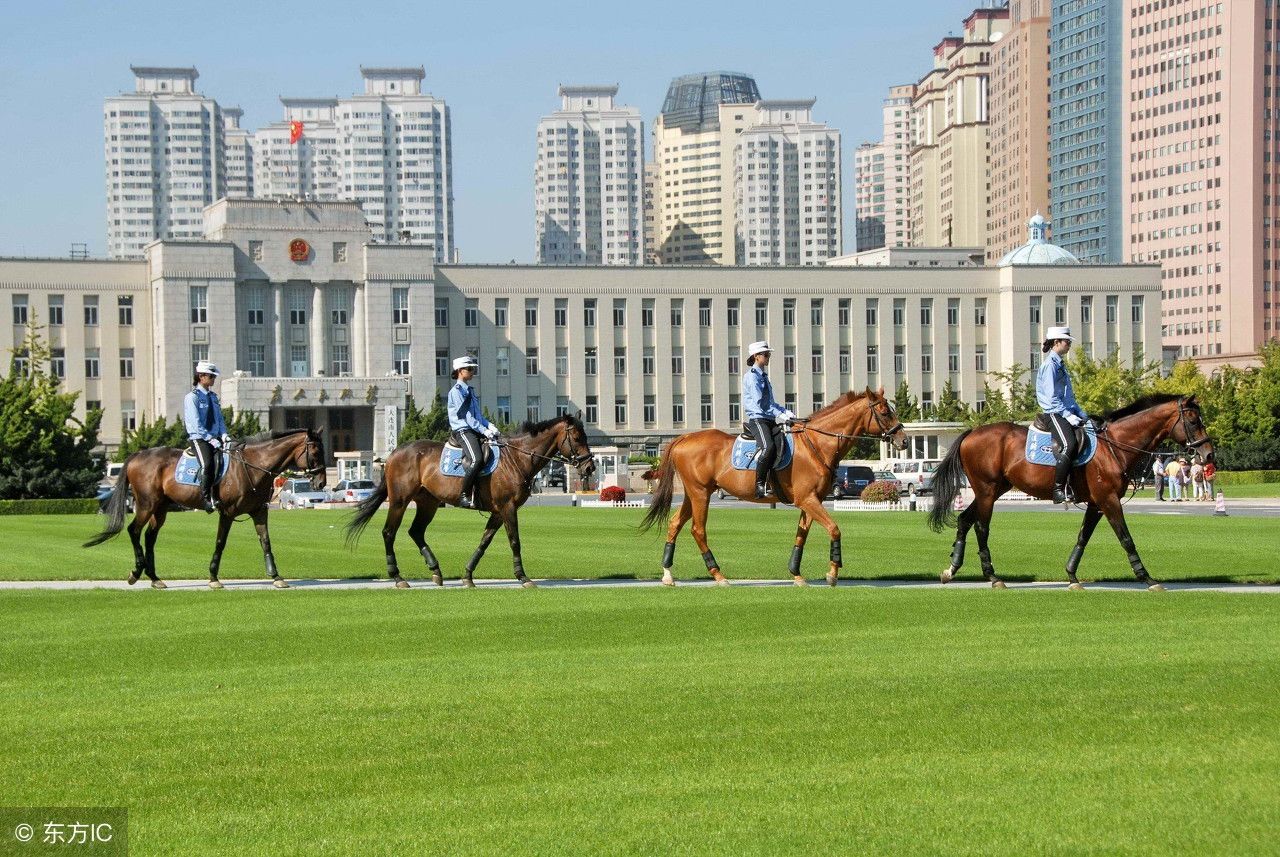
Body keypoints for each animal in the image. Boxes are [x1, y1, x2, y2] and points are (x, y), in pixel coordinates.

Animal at [83, 429, 325, 590]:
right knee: (134, 531)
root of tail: (137, 455)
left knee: (150, 536)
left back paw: (154, 578)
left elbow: (265, 541)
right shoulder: (227, 512)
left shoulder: (259, 511)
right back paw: (136, 572)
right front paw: (213, 577)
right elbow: (220, 542)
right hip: (146, 505)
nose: (321, 482)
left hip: (160, 509)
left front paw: (275, 575)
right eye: (315, 451)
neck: (252, 466)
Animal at [343, 416, 596, 590]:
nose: (589, 467)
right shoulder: (508, 507)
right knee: (388, 532)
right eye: (577, 438)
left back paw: (435, 570)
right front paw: (523, 577)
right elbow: (515, 541)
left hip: (428, 503)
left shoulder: (498, 511)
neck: (516, 458)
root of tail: (395, 452)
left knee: (416, 532)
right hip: (399, 501)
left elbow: (484, 542)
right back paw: (397, 577)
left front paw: (467, 576)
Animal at [640, 391, 911, 588]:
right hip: (700, 494)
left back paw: (668, 574)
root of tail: (684, 438)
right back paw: (718, 575)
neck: (817, 443)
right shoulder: (808, 500)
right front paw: (833, 573)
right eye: (885, 412)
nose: (904, 440)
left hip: (693, 494)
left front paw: (797, 574)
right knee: (698, 530)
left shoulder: (811, 501)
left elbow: (801, 535)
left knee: (675, 524)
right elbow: (834, 529)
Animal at [926, 396, 1213, 590]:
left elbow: (1083, 537)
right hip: (987, 491)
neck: (1114, 446)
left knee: (964, 520)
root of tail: (973, 432)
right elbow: (1126, 539)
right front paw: (1146, 577)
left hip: (994, 490)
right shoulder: (1109, 501)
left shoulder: (1097, 504)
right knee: (981, 528)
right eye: (1193, 420)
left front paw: (1072, 575)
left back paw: (951, 569)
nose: (1209, 455)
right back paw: (992, 576)